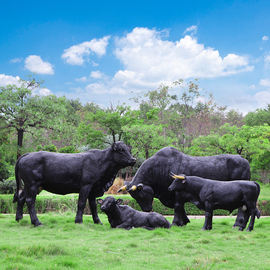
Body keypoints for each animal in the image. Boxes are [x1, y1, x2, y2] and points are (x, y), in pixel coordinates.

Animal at [118, 147, 251, 227]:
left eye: (141, 194)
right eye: (134, 197)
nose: (146, 210)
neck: (162, 167)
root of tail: (242, 158)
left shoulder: (177, 193)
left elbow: (178, 206)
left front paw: (176, 222)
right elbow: (180, 207)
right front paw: (184, 221)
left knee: (241, 208)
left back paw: (238, 224)